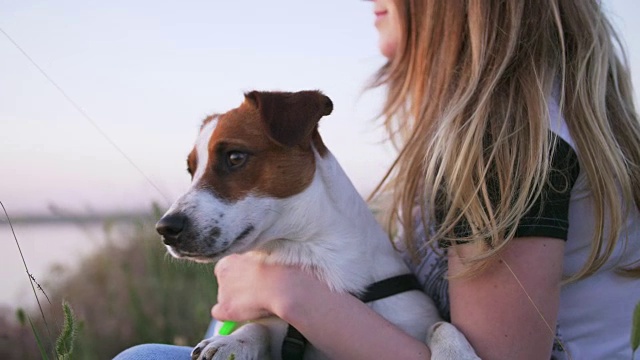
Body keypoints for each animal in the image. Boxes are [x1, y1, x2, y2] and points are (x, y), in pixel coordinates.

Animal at [156, 90, 480, 360]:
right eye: (191, 169)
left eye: (235, 157)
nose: (165, 229)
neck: (312, 251)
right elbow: (258, 327)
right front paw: (232, 340)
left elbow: (440, 325)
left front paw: (455, 353)